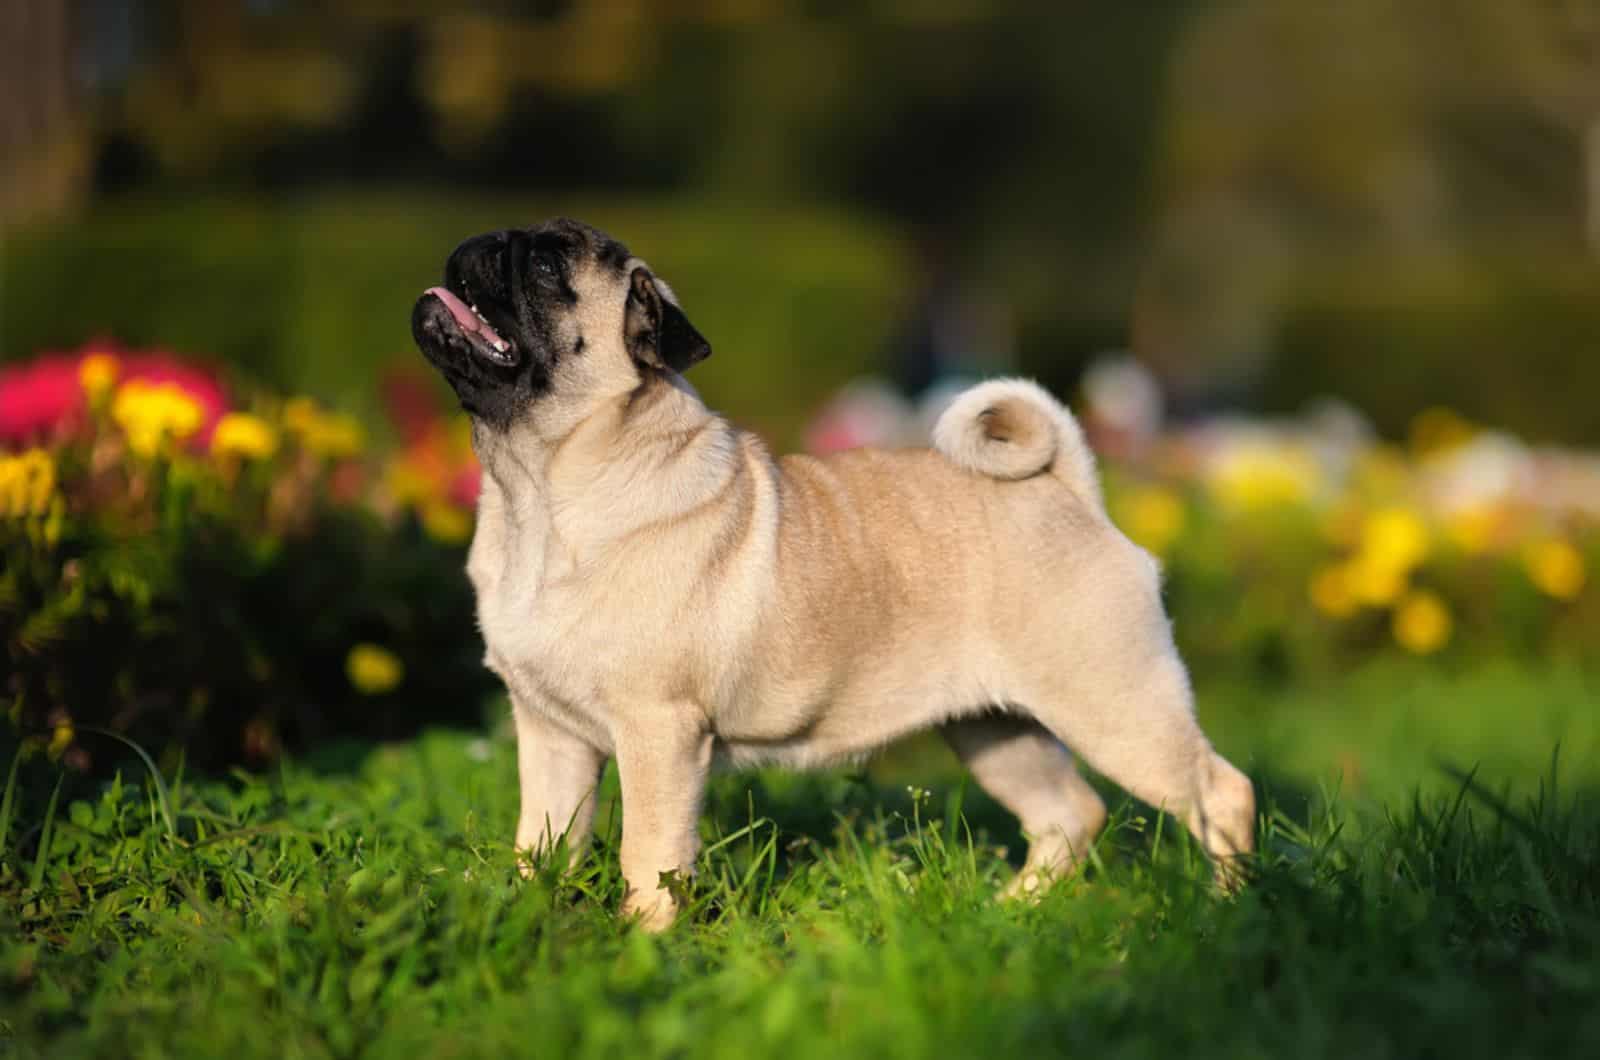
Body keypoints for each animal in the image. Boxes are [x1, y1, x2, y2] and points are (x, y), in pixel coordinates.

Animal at [406, 217, 1254, 928]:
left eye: (549, 268)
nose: (483, 242)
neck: (538, 491)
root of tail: (1069, 487)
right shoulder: (550, 734)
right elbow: (542, 843)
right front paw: (523, 916)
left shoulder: (659, 732)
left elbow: (648, 856)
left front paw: (643, 941)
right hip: (996, 729)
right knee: (1069, 815)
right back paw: (1012, 912)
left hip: (1112, 704)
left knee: (1221, 794)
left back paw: (1227, 914)